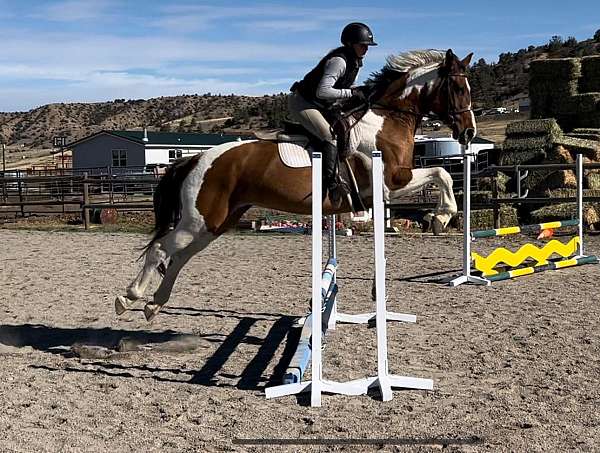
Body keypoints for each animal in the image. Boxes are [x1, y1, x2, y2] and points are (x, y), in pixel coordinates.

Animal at [115, 47, 476, 320]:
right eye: (458, 89)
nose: (468, 133)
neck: (387, 119)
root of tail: (195, 158)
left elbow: (441, 175)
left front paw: (437, 218)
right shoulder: (392, 181)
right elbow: (441, 174)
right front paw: (440, 217)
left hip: (216, 223)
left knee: (179, 257)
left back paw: (153, 304)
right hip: (198, 219)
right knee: (162, 249)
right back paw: (128, 297)